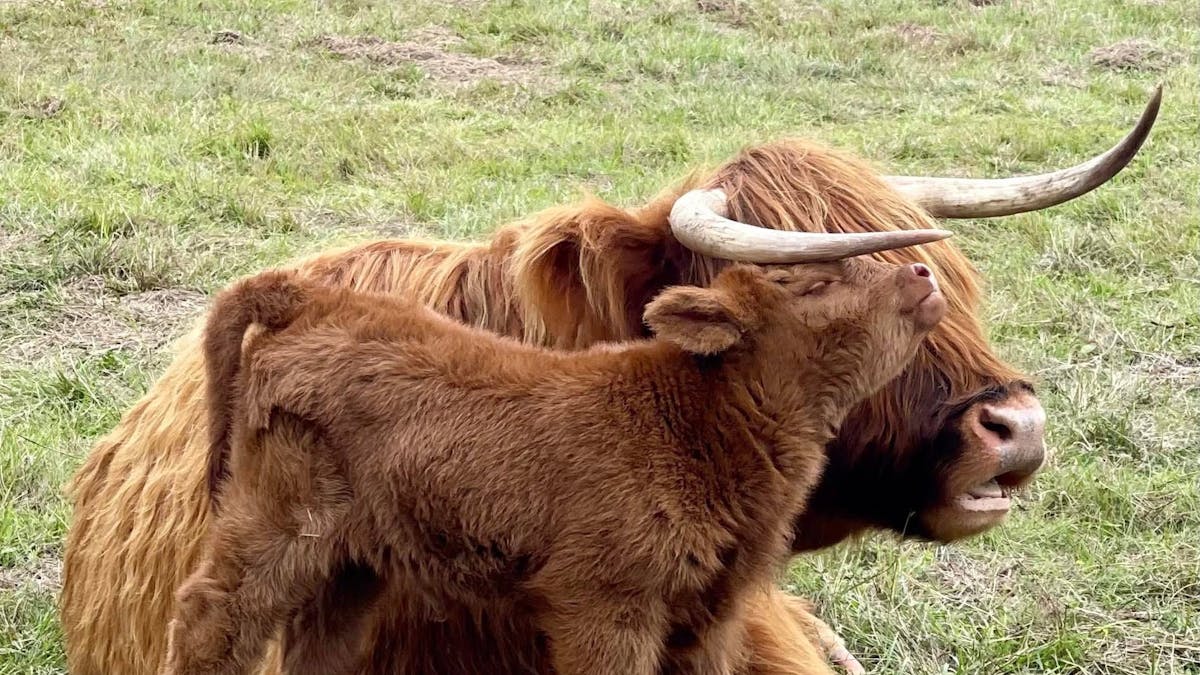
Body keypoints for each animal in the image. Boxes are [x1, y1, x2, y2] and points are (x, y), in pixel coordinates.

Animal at [163, 237, 949, 675]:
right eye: (813, 285)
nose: (923, 275)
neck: (693, 422)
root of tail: (311, 298)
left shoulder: (707, 616)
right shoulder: (603, 607)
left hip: (351, 561)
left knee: (317, 643)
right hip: (276, 520)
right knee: (212, 615)